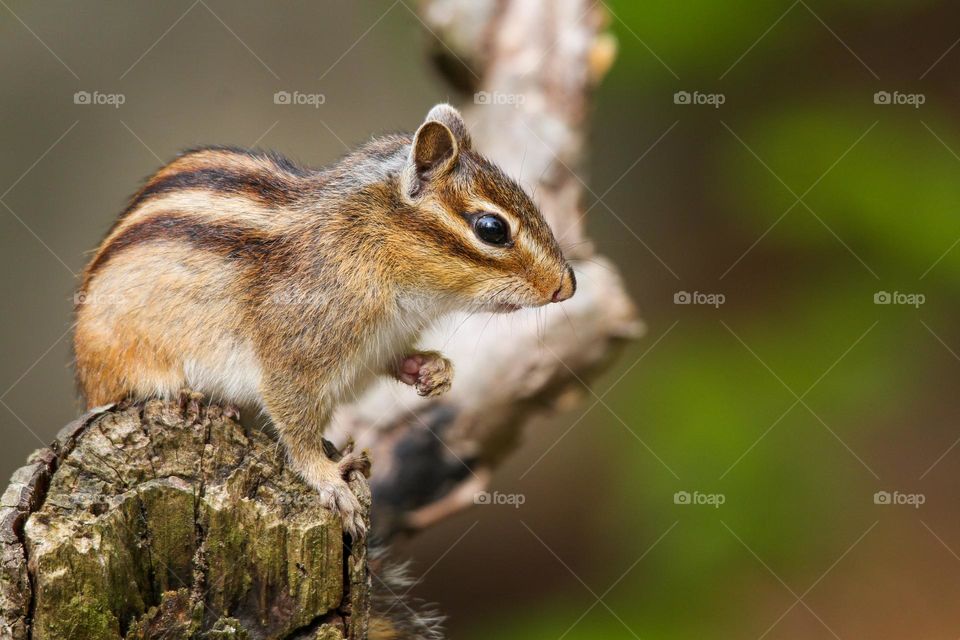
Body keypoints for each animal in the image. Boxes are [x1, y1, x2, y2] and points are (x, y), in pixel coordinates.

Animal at [73, 103, 575, 543]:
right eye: (492, 228)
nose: (566, 287)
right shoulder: (293, 357)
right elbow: (295, 424)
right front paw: (330, 479)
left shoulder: (378, 346)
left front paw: (434, 372)